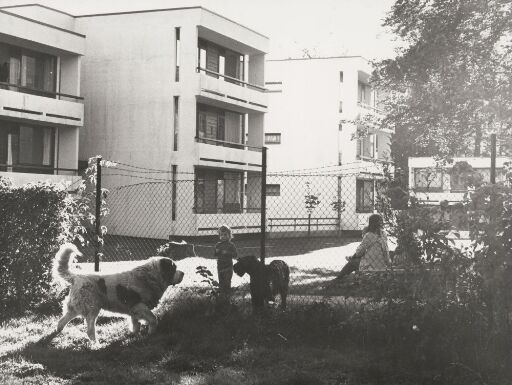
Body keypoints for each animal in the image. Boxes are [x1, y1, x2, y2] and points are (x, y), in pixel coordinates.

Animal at [53, 244, 184, 340]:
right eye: (174, 268)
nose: (183, 273)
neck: (149, 277)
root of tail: (76, 276)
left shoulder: (134, 310)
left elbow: (136, 324)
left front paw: (134, 336)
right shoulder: (139, 305)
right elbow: (153, 319)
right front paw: (151, 333)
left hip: (76, 307)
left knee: (62, 320)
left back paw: (59, 331)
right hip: (92, 308)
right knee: (90, 329)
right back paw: (96, 345)